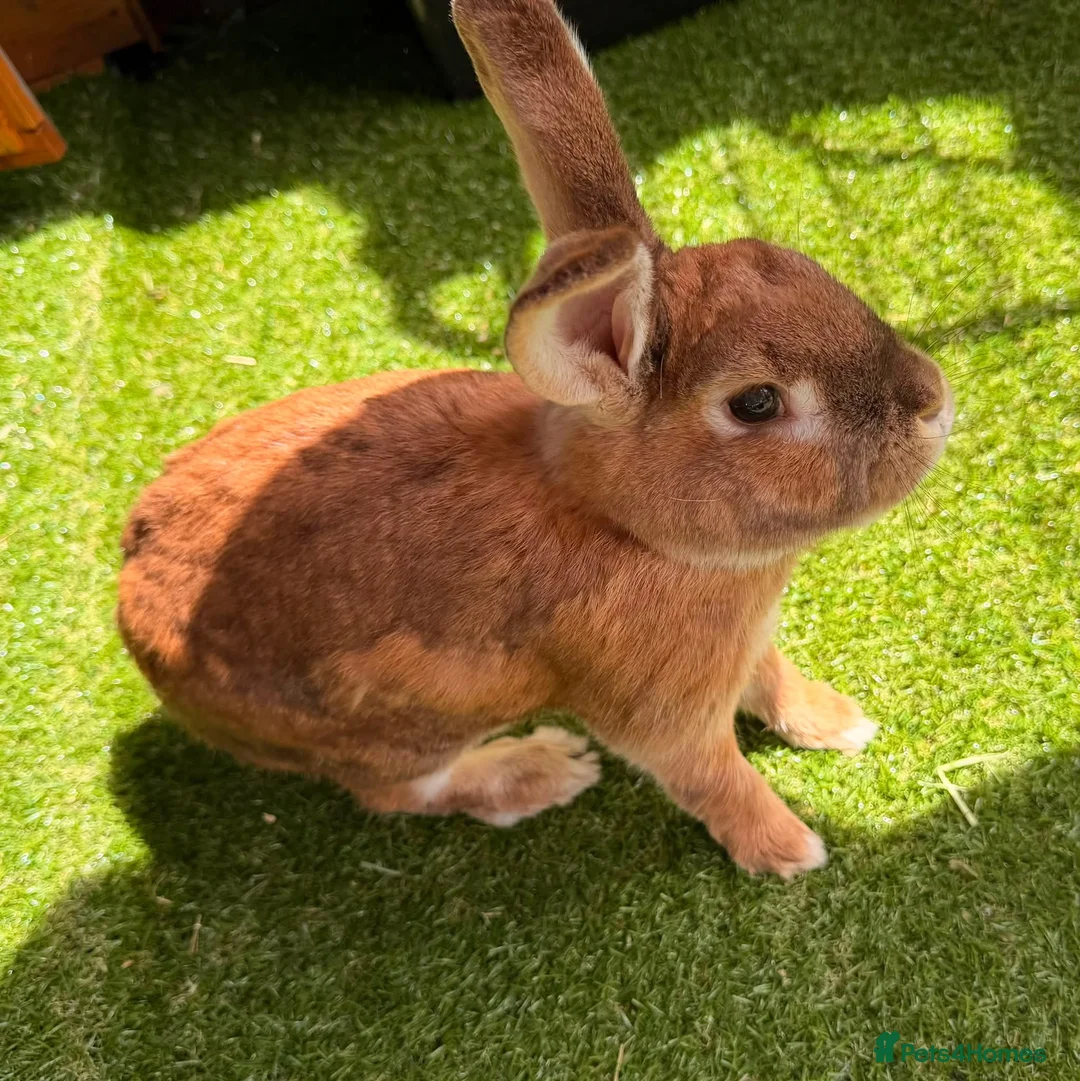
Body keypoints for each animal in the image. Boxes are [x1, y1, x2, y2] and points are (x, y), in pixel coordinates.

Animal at [116, 0, 953, 878]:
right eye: (757, 403)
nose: (933, 402)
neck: (622, 525)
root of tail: (128, 594)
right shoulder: (662, 715)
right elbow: (712, 777)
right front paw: (788, 848)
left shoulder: (748, 646)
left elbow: (775, 678)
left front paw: (839, 721)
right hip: (395, 729)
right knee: (402, 791)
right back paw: (546, 768)